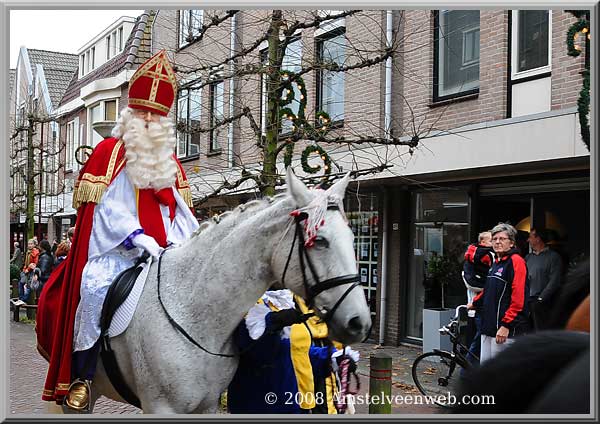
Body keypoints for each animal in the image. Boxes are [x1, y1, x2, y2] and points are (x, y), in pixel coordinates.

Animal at [81, 169, 370, 414]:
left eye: (352, 237)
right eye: (319, 241)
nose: (360, 322)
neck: (193, 312)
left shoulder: (206, 405)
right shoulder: (161, 407)